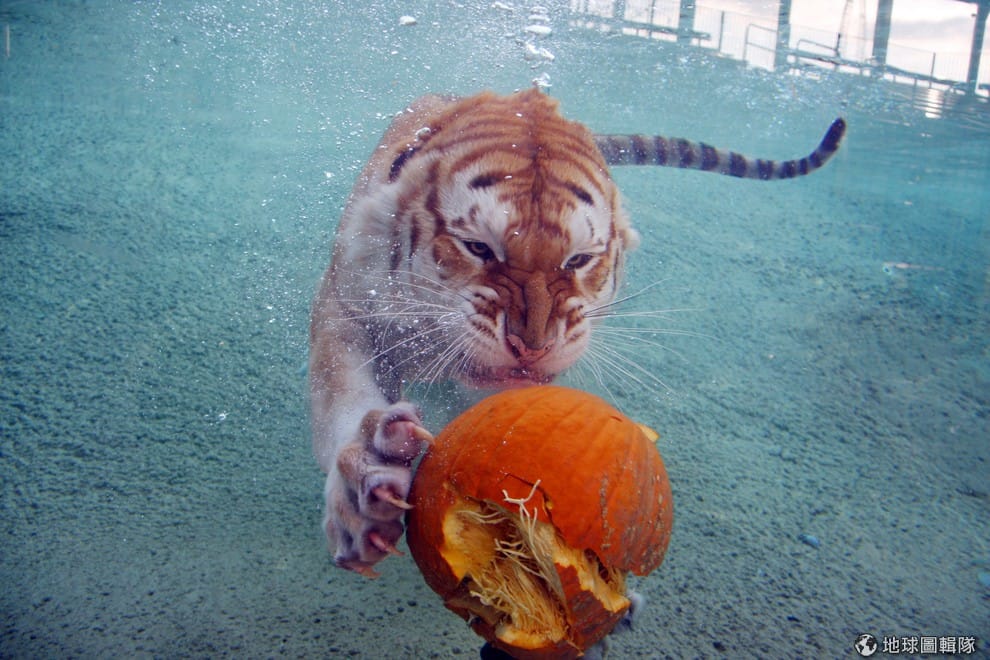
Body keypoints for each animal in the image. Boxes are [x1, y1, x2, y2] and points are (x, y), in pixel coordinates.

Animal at [309, 88, 845, 578]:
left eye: (579, 260)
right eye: (478, 248)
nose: (532, 345)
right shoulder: (346, 306)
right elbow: (341, 393)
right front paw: (362, 493)